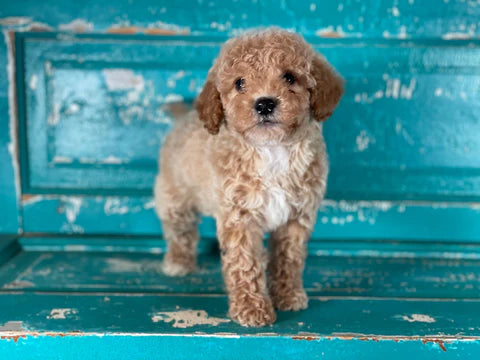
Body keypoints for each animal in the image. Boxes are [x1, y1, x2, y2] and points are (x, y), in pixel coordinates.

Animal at [156, 28, 344, 326]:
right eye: (239, 83)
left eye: (289, 77)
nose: (264, 103)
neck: (271, 148)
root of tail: (183, 118)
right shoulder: (239, 216)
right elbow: (245, 263)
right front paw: (252, 308)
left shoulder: (297, 216)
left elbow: (289, 258)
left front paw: (288, 294)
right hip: (174, 194)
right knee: (179, 229)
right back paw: (178, 261)